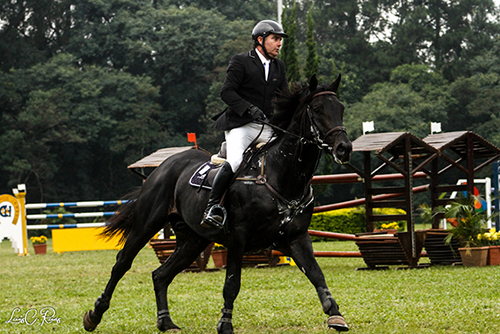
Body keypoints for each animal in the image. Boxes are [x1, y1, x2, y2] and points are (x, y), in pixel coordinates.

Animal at [84, 74, 352, 332]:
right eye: (317, 109)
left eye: (340, 108)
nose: (344, 148)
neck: (280, 175)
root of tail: (163, 166)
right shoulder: (238, 238)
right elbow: (232, 283)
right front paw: (225, 324)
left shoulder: (296, 237)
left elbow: (316, 274)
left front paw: (336, 316)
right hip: (147, 225)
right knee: (122, 263)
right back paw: (94, 316)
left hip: (193, 240)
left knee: (161, 275)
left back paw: (166, 322)